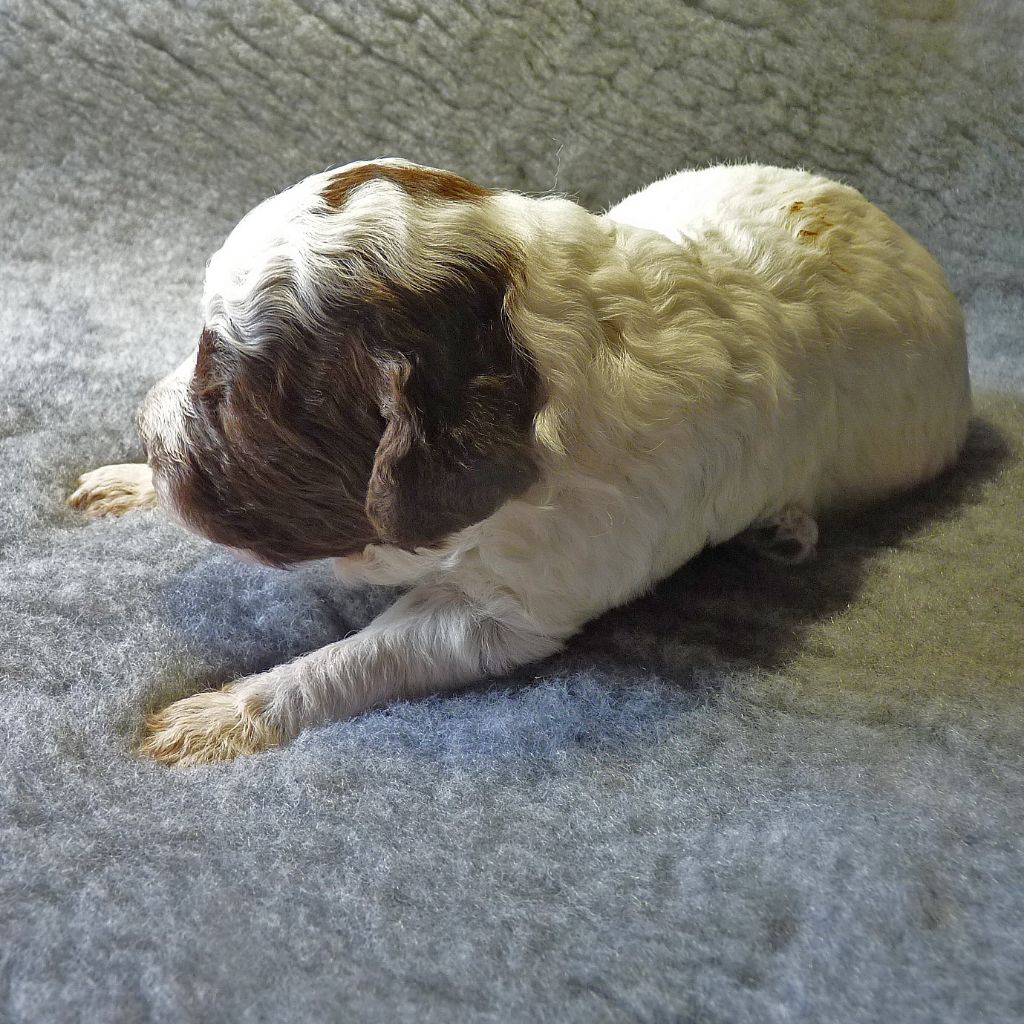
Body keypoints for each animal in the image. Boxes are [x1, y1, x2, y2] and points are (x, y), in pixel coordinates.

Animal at [68, 159, 971, 766]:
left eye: (222, 390)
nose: (145, 430)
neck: (537, 340)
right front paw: (126, 479)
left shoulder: (513, 606)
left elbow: (362, 656)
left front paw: (218, 717)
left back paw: (786, 527)